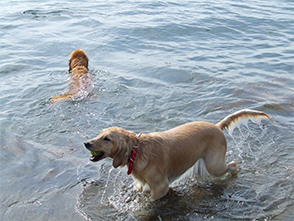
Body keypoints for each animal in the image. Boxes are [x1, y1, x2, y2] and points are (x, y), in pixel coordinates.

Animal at [83, 109, 274, 200]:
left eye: (107, 138)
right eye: (100, 134)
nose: (86, 143)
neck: (137, 151)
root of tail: (217, 126)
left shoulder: (160, 187)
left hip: (215, 165)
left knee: (232, 165)